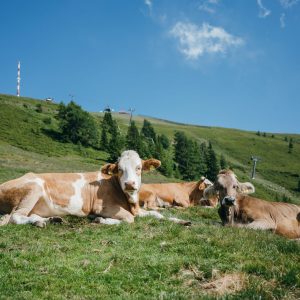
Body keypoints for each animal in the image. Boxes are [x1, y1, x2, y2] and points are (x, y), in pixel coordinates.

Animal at [0, 150, 190, 227]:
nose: (129, 184)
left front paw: (181, 221)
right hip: (32, 189)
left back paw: (52, 219)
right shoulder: (102, 207)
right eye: (120, 169)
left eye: (139, 168)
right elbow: (129, 219)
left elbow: (158, 215)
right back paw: (38, 222)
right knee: (16, 217)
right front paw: (101, 220)